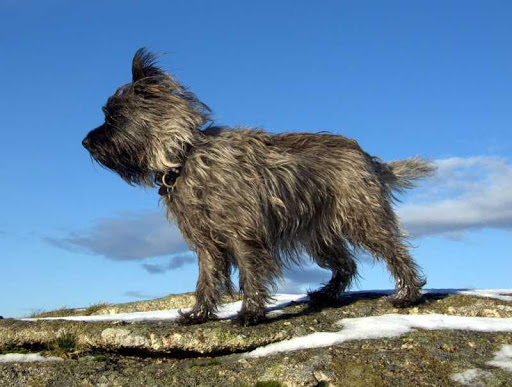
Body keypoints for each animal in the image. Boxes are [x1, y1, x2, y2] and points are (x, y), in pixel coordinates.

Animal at [83, 49, 436, 328]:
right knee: (346, 264)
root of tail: (366, 156)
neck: (183, 157)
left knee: (395, 251)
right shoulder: (207, 244)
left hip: (362, 218)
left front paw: (250, 314)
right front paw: (199, 315)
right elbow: (206, 279)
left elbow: (250, 275)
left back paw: (408, 294)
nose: (85, 141)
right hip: (318, 235)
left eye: (112, 117)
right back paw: (326, 294)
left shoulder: (243, 236)